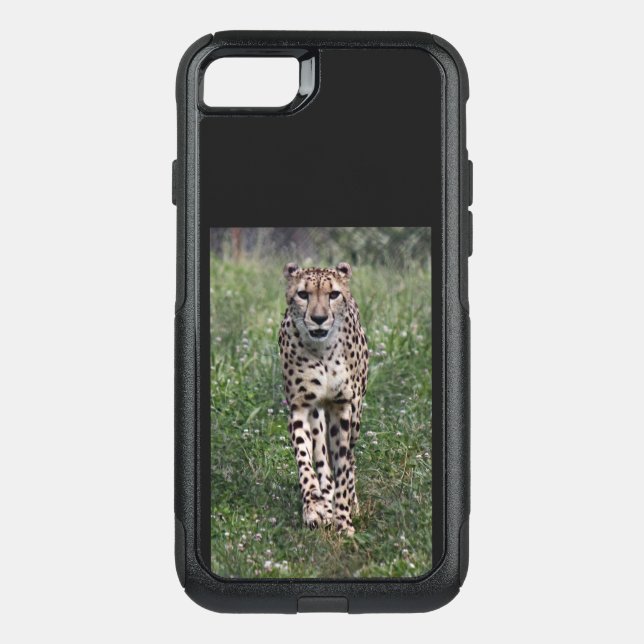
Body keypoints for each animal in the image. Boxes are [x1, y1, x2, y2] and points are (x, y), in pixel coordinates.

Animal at [279, 261, 369, 536]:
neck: (322, 351)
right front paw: (314, 507)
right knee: (322, 458)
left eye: (333, 294)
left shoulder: (342, 407)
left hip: (356, 415)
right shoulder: (301, 405)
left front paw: (344, 520)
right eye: (303, 294)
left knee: (349, 459)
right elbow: (305, 460)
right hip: (319, 414)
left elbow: (343, 466)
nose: (318, 319)